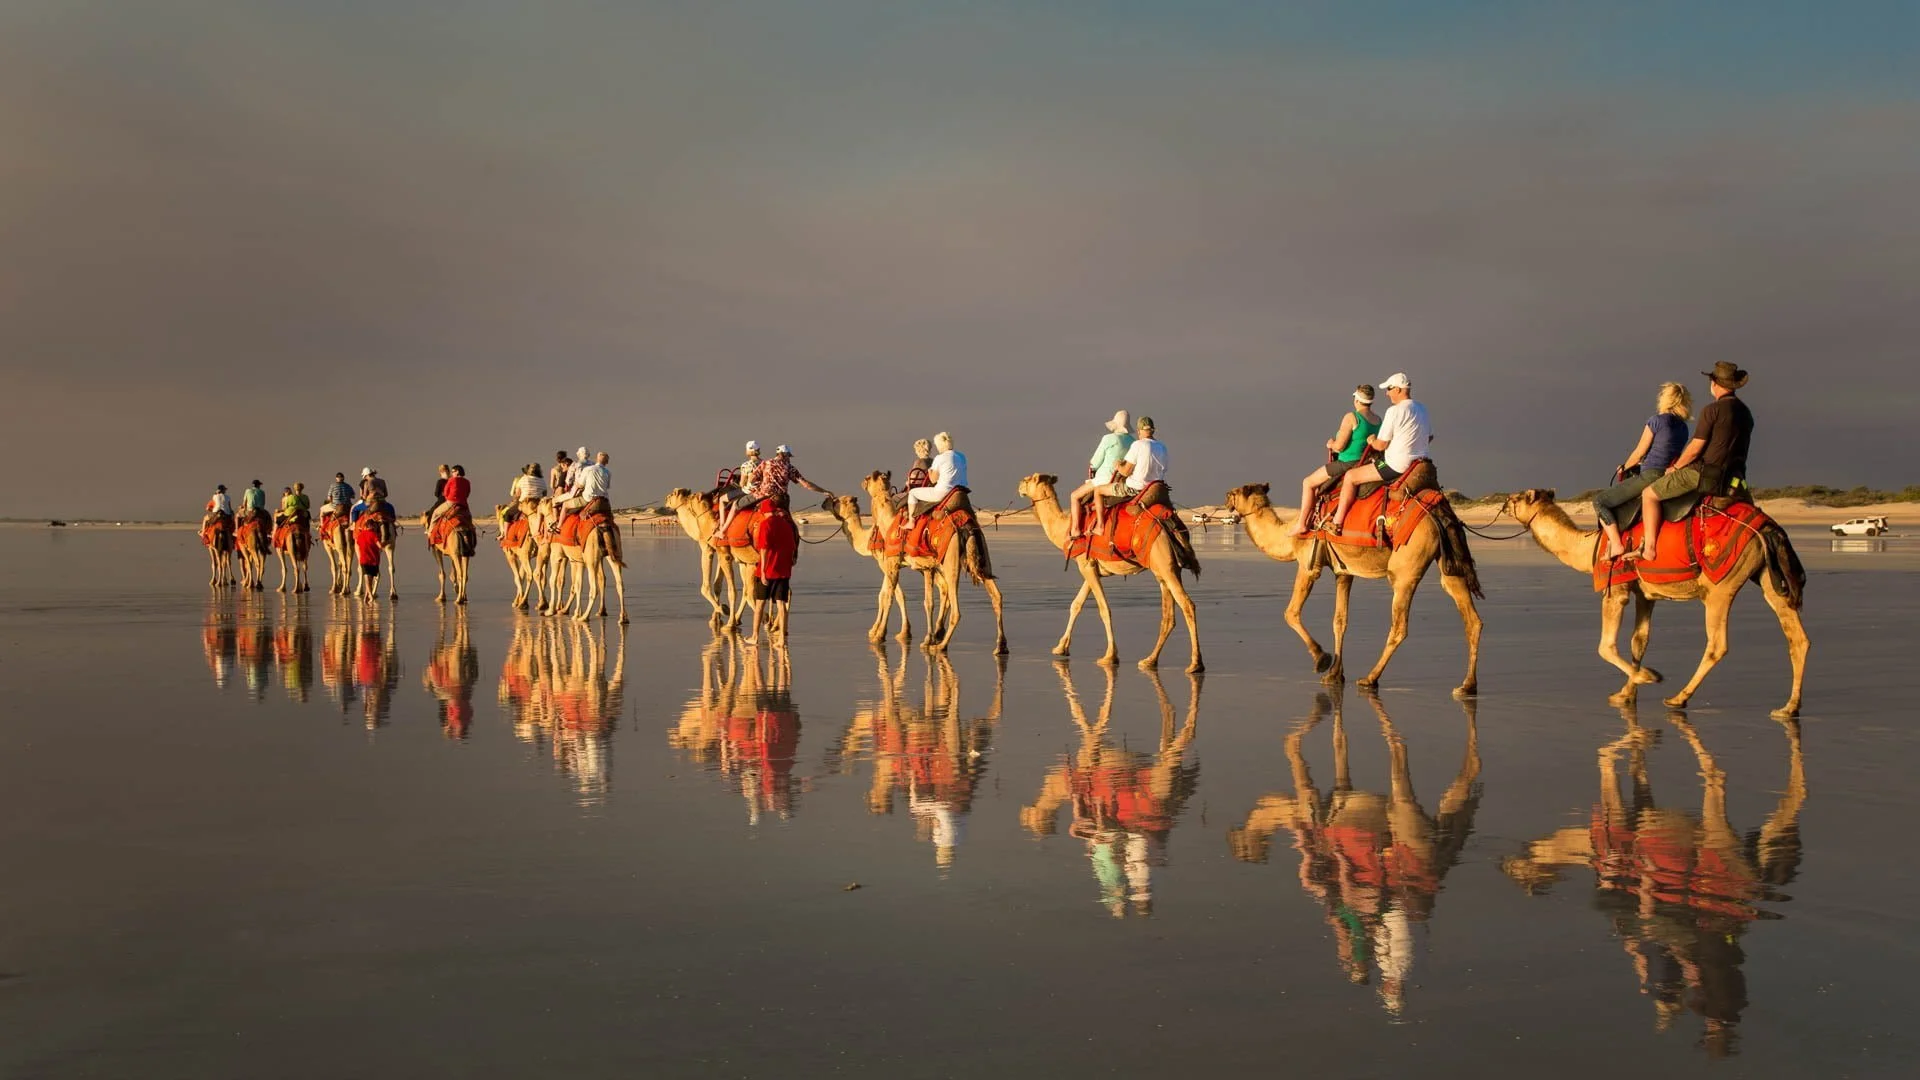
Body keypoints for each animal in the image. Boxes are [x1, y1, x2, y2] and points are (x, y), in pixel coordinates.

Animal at [824, 494, 934, 645]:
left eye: (836, 501)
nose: (824, 503)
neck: (868, 538)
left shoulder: (885, 563)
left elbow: (893, 595)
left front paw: (900, 633)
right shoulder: (886, 564)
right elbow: (882, 595)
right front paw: (875, 630)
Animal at [856, 472, 1007, 655]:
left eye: (868, 478)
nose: (862, 482)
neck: (889, 522)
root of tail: (967, 527)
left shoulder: (892, 564)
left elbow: (889, 596)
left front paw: (879, 635)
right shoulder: (928, 568)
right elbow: (928, 602)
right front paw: (928, 639)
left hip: (951, 561)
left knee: (956, 609)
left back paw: (941, 646)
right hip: (982, 557)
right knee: (996, 596)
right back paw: (1001, 646)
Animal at [1018, 473, 1200, 673]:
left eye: (1028, 479)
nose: (1019, 486)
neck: (1065, 528)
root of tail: (1171, 524)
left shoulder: (1086, 566)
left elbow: (1104, 608)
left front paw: (1109, 656)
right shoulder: (1090, 566)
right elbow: (1076, 604)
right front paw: (1060, 648)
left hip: (1165, 565)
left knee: (1187, 605)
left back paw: (1195, 664)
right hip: (1166, 569)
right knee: (1168, 616)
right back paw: (1149, 660)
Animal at [1223, 483, 1483, 696]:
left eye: (1233, 493)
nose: (1225, 502)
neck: (1289, 536)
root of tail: (1439, 513)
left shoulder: (1308, 564)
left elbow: (1291, 612)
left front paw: (1321, 659)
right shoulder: (1344, 573)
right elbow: (1340, 620)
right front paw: (1334, 674)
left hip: (1406, 568)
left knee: (1399, 626)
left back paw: (1370, 678)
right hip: (1449, 561)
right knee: (1471, 617)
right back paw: (1467, 686)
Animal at [1501, 489, 1808, 717]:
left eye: (1518, 497)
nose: (1503, 503)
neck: (1589, 548)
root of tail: (1771, 527)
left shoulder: (1616, 588)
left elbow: (1605, 646)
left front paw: (1650, 676)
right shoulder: (1644, 594)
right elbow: (1640, 640)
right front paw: (1626, 692)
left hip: (1721, 584)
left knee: (1717, 644)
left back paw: (1678, 698)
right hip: (1767, 576)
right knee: (1797, 637)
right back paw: (1788, 708)